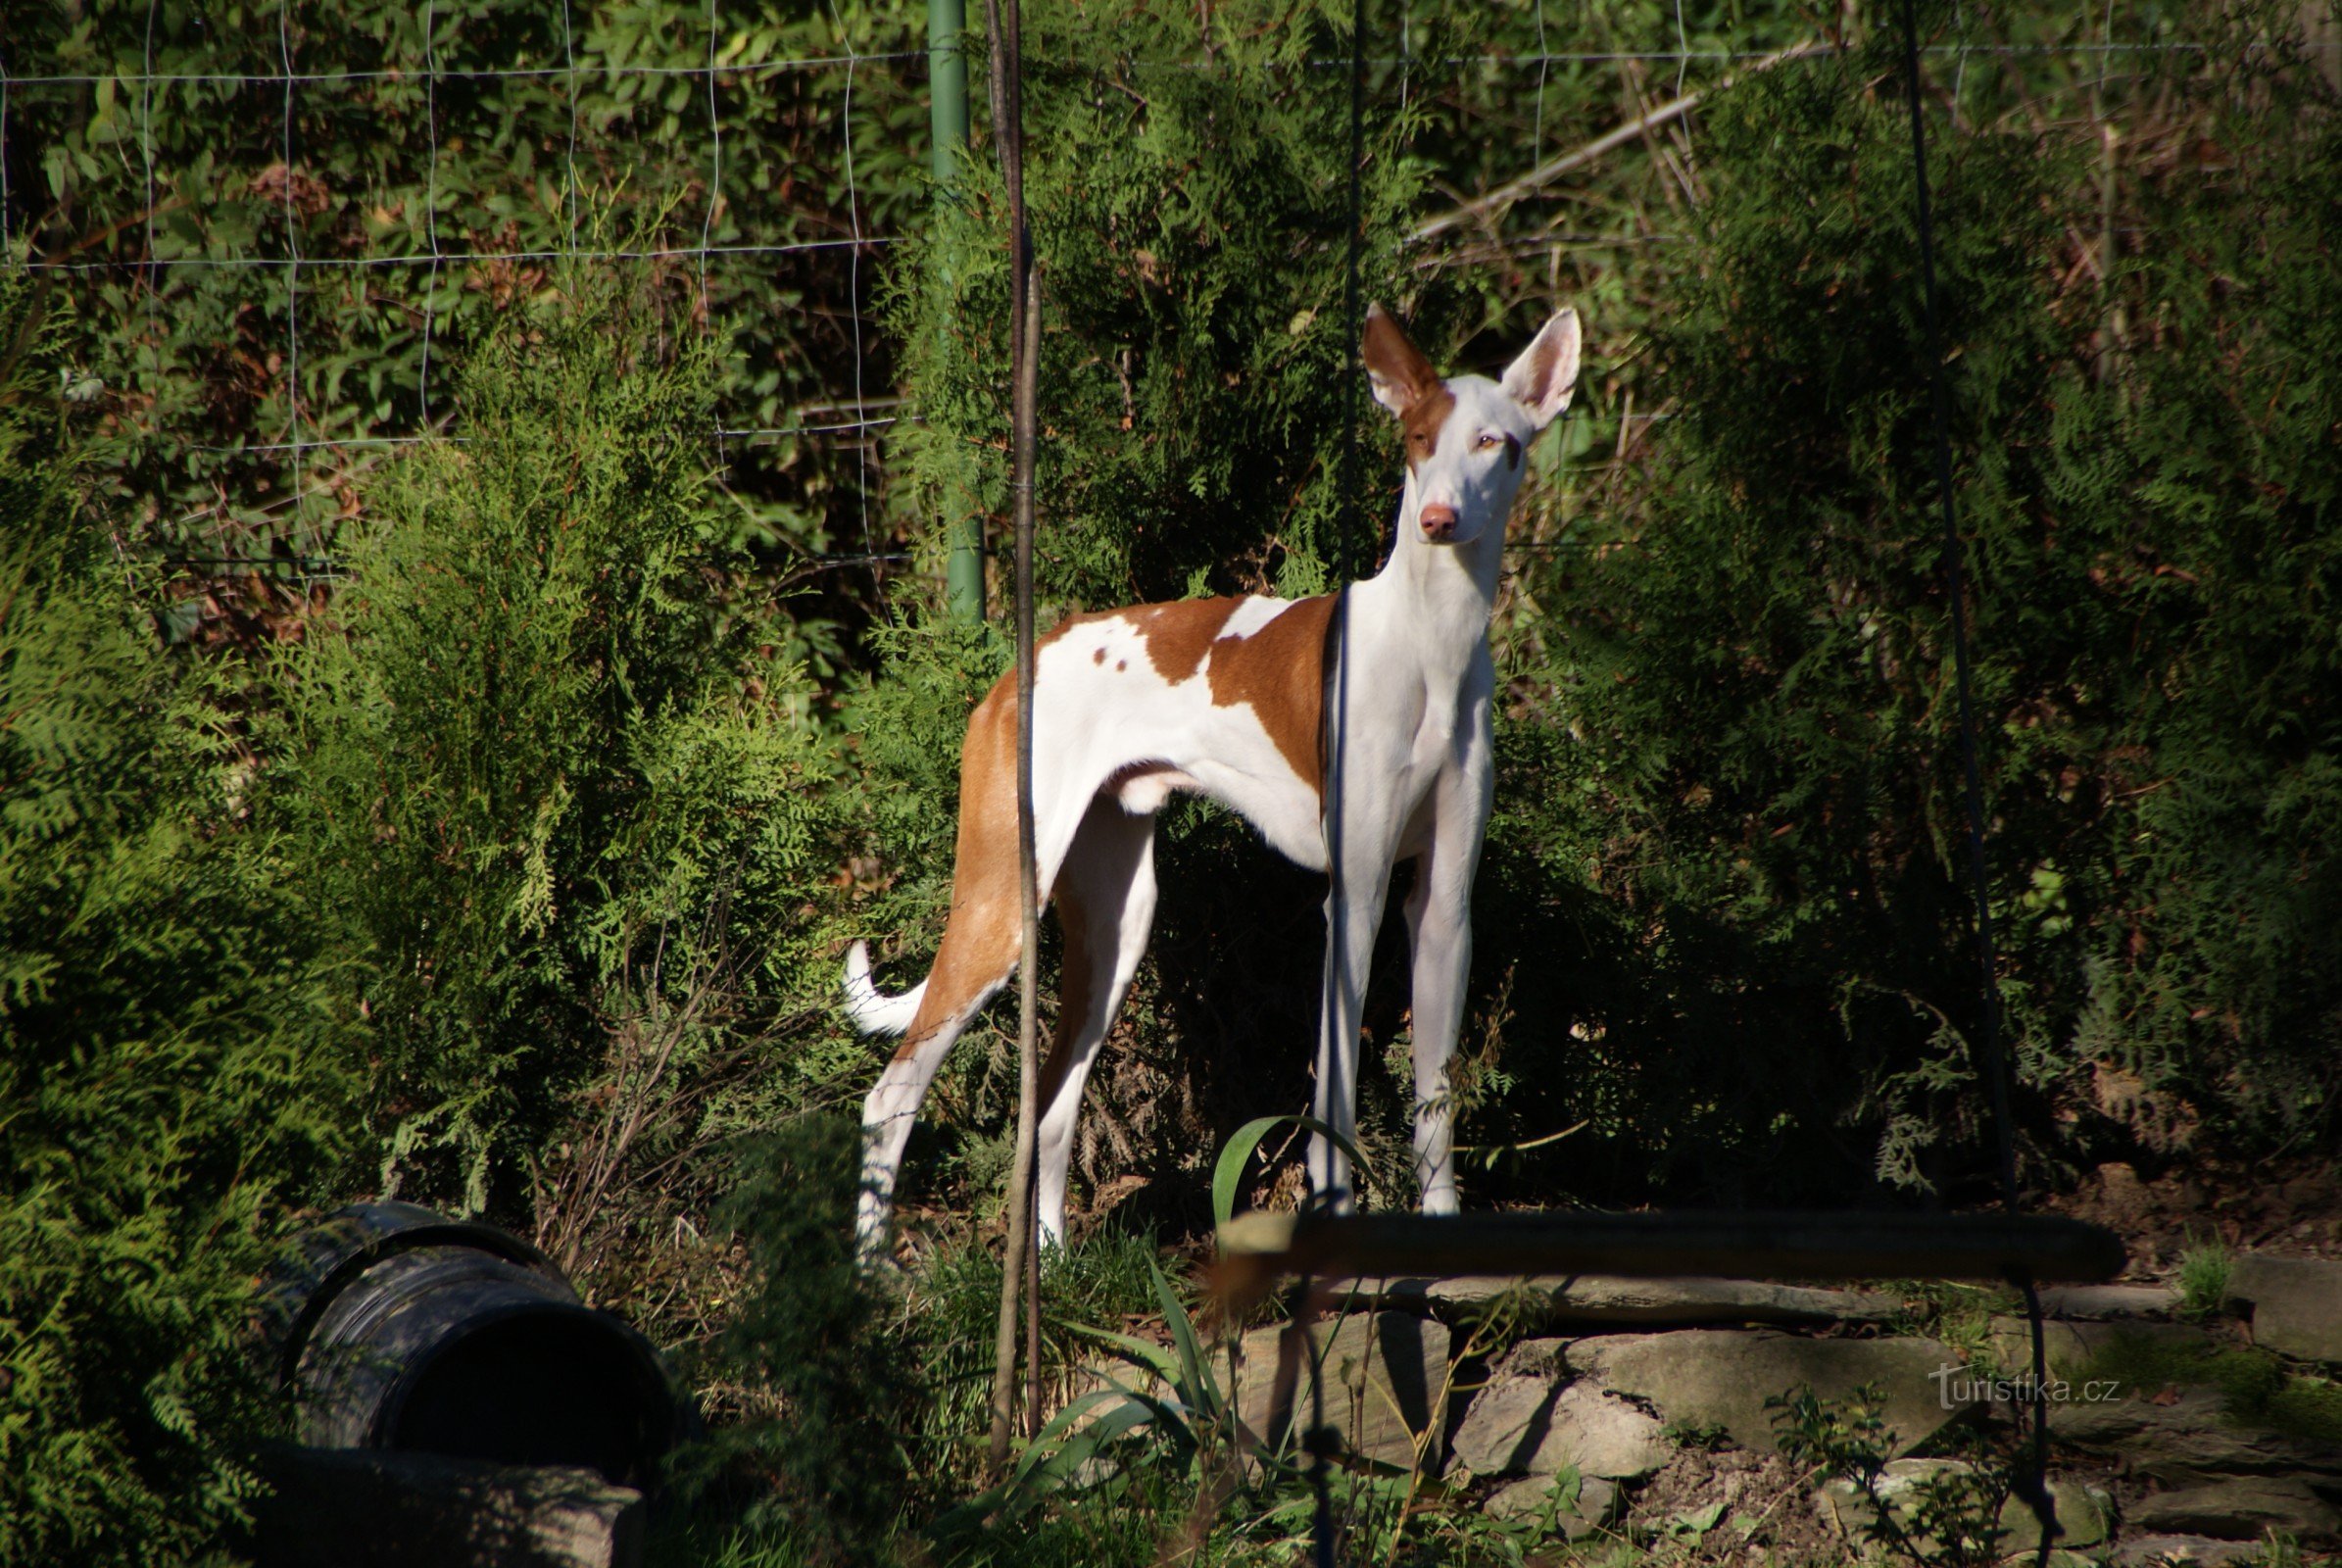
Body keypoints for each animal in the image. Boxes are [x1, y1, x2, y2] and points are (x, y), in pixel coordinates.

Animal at [843, 304, 1574, 1255]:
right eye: (1417, 440)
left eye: (1496, 442)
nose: (1439, 518)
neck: (1428, 644)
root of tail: (1019, 666)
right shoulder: (1355, 899)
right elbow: (1334, 1091)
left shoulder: (1443, 906)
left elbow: (1436, 1103)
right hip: (1002, 901)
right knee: (890, 1094)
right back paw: (872, 1273)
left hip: (1118, 926)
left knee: (1051, 1109)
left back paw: (1054, 1262)